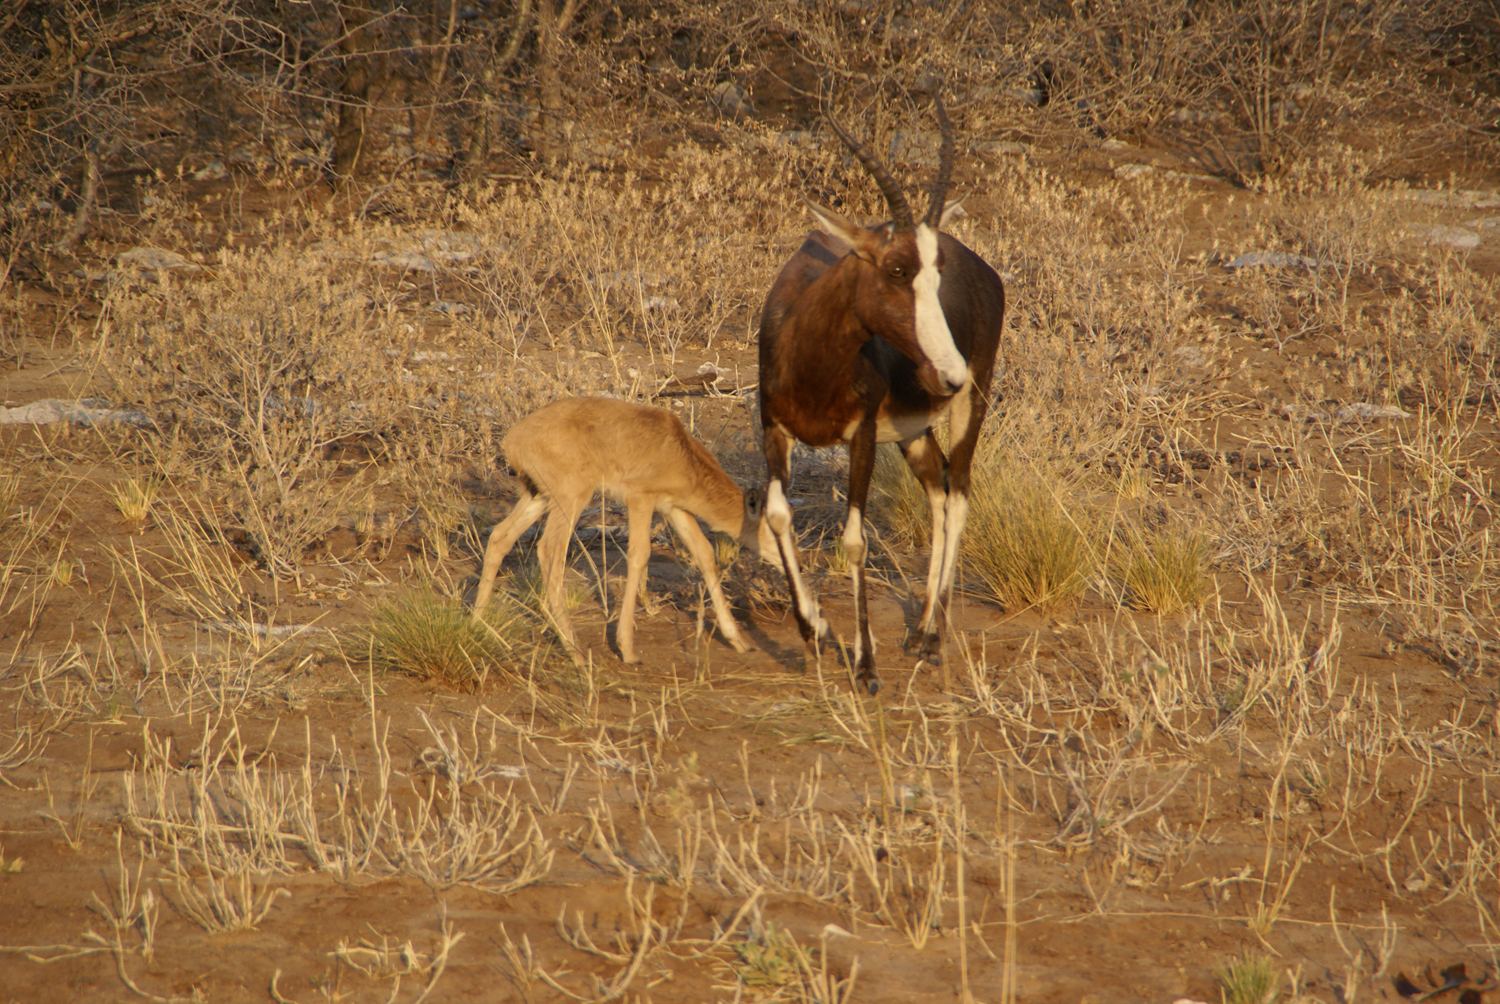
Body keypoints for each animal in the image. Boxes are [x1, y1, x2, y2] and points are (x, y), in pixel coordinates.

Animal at [468, 393, 774, 666]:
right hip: (572, 498)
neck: (681, 454)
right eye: (774, 527)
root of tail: (513, 440)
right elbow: (639, 556)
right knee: (550, 550)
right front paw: (627, 649)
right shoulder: (641, 500)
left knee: (500, 537)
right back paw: (577, 654)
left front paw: (739, 640)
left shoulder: (674, 509)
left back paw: (478, 624)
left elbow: (704, 553)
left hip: (539, 497)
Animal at [762, 93, 1008, 693]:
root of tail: (990, 273)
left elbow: (855, 539)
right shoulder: (772, 426)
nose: (948, 372)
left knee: (960, 491)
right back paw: (918, 631)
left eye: (938, 271)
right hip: (913, 431)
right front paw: (815, 631)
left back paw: (935, 638)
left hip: (971, 406)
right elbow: (776, 516)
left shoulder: (863, 437)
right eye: (897, 269)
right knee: (938, 491)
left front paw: (867, 667)